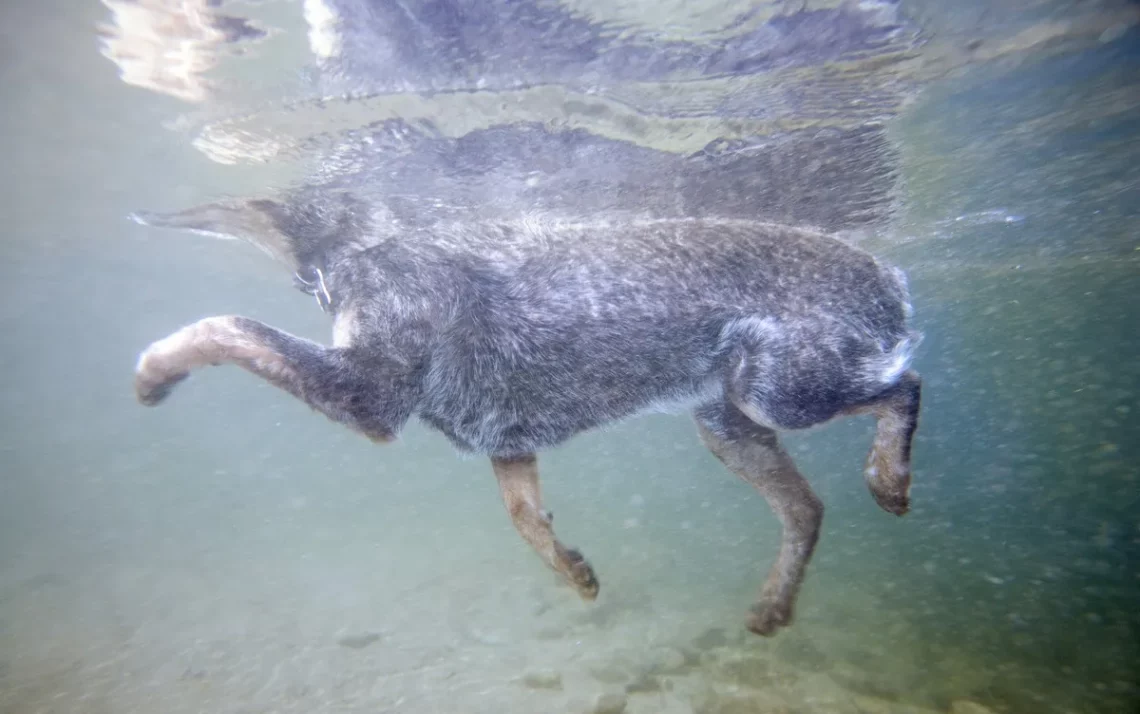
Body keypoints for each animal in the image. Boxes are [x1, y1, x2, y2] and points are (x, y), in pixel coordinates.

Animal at [133, 197, 921, 638]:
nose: (146, 214)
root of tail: (888, 273)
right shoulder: (504, 441)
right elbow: (524, 520)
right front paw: (574, 573)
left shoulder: (368, 396)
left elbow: (227, 326)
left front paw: (152, 371)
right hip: (729, 425)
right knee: (807, 508)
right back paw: (772, 608)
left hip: (781, 389)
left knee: (904, 386)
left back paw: (888, 477)